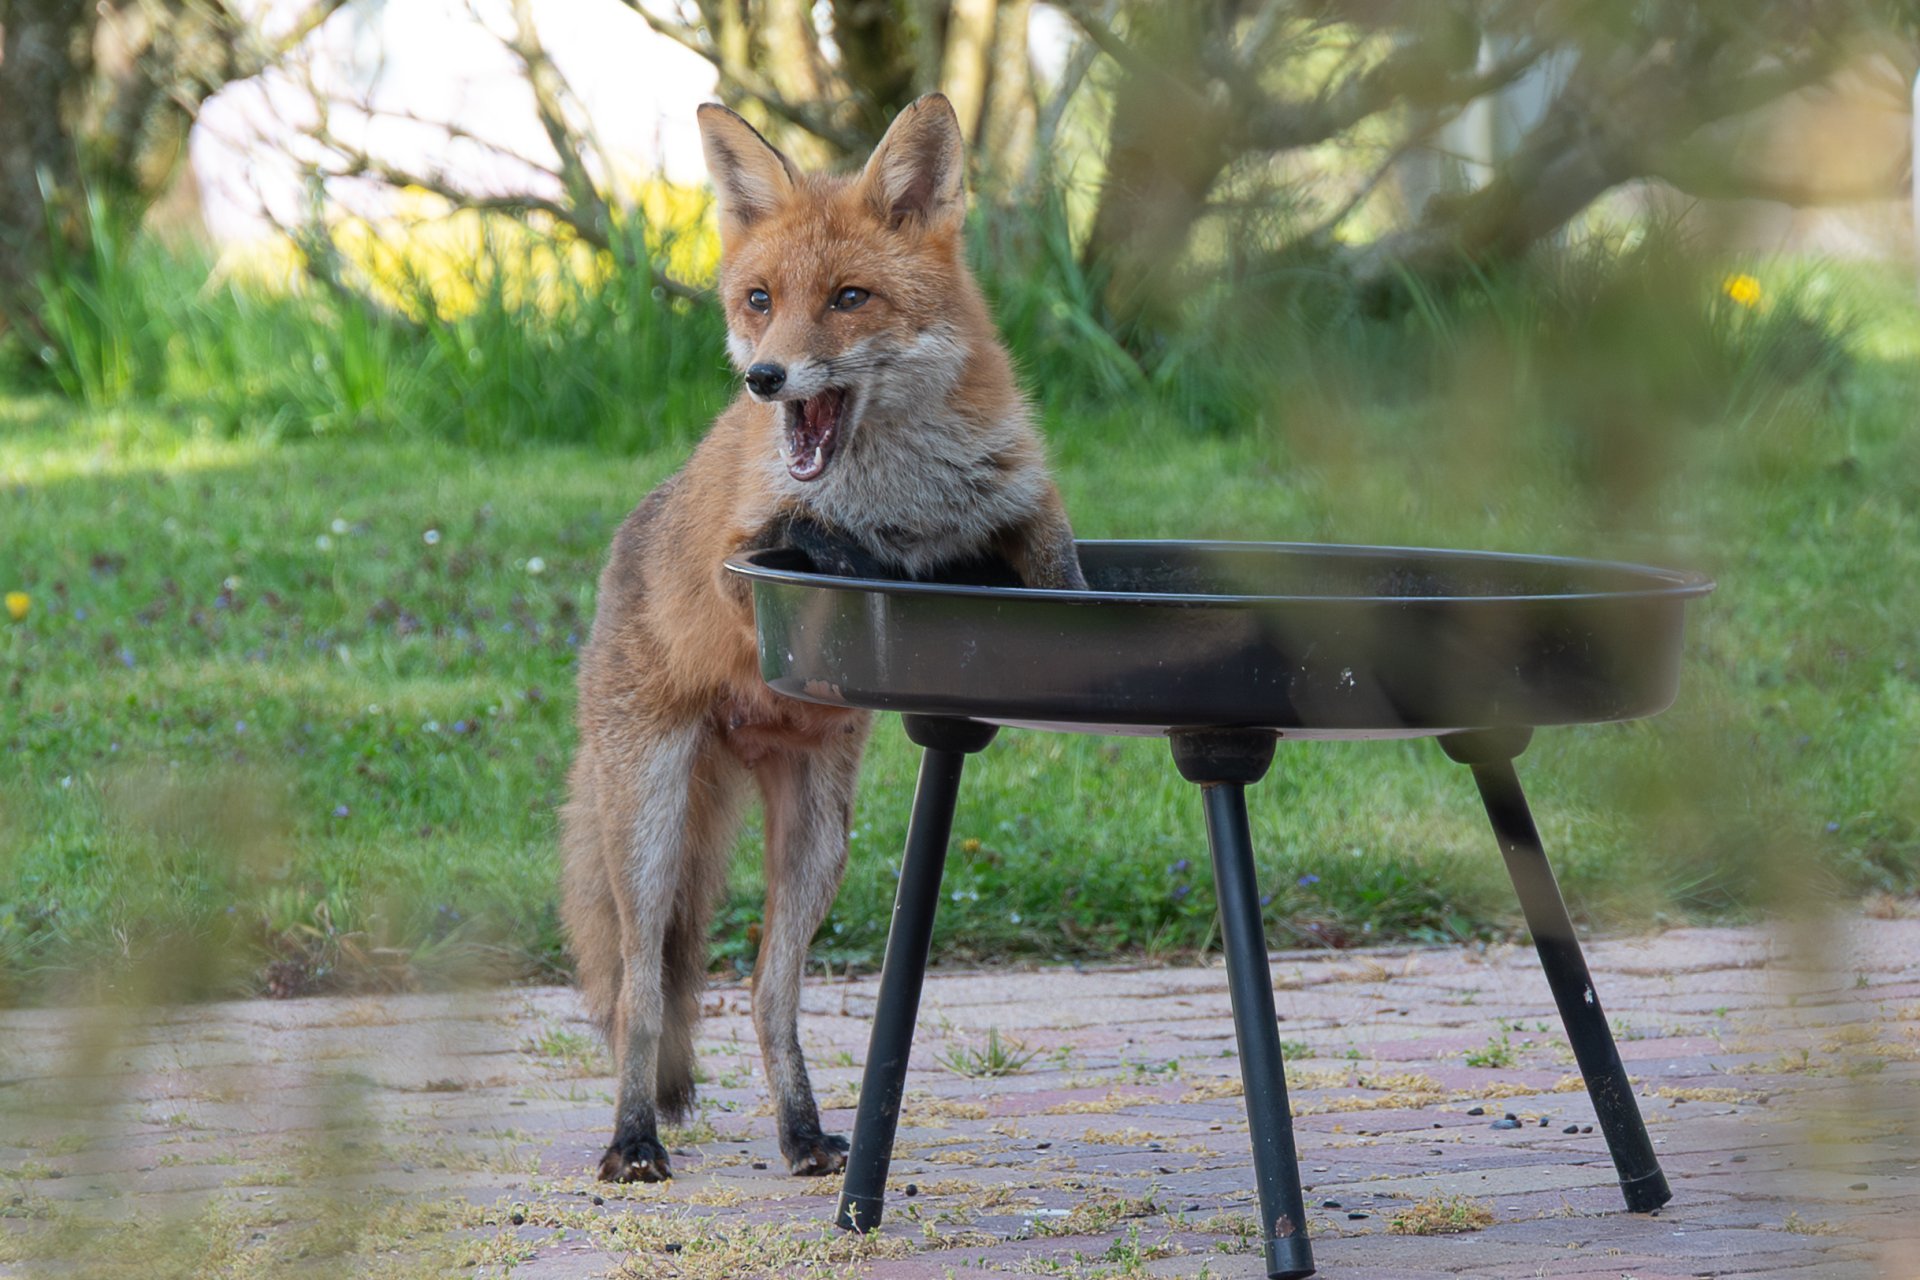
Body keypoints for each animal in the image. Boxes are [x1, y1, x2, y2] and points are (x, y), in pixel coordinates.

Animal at [559, 92, 1085, 1184]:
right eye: (760, 299)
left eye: (849, 298)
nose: (767, 379)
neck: (904, 488)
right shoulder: (745, 554)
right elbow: (823, 538)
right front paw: (870, 553)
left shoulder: (1027, 502)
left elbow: (1058, 571)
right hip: (649, 830)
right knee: (643, 990)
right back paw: (633, 1137)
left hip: (818, 840)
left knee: (769, 992)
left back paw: (801, 1133)